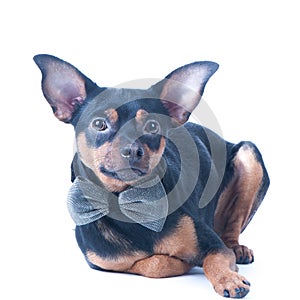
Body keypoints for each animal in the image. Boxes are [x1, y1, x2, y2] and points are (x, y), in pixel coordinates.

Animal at [34, 55, 270, 298]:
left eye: (152, 126)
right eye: (99, 124)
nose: (133, 150)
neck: (125, 203)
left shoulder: (214, 246)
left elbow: (213, 259)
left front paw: (228, 279)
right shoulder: (103, 263)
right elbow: (155, 264)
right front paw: (181, 262)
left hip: (248, 155)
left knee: (231, 228)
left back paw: (237, 248)